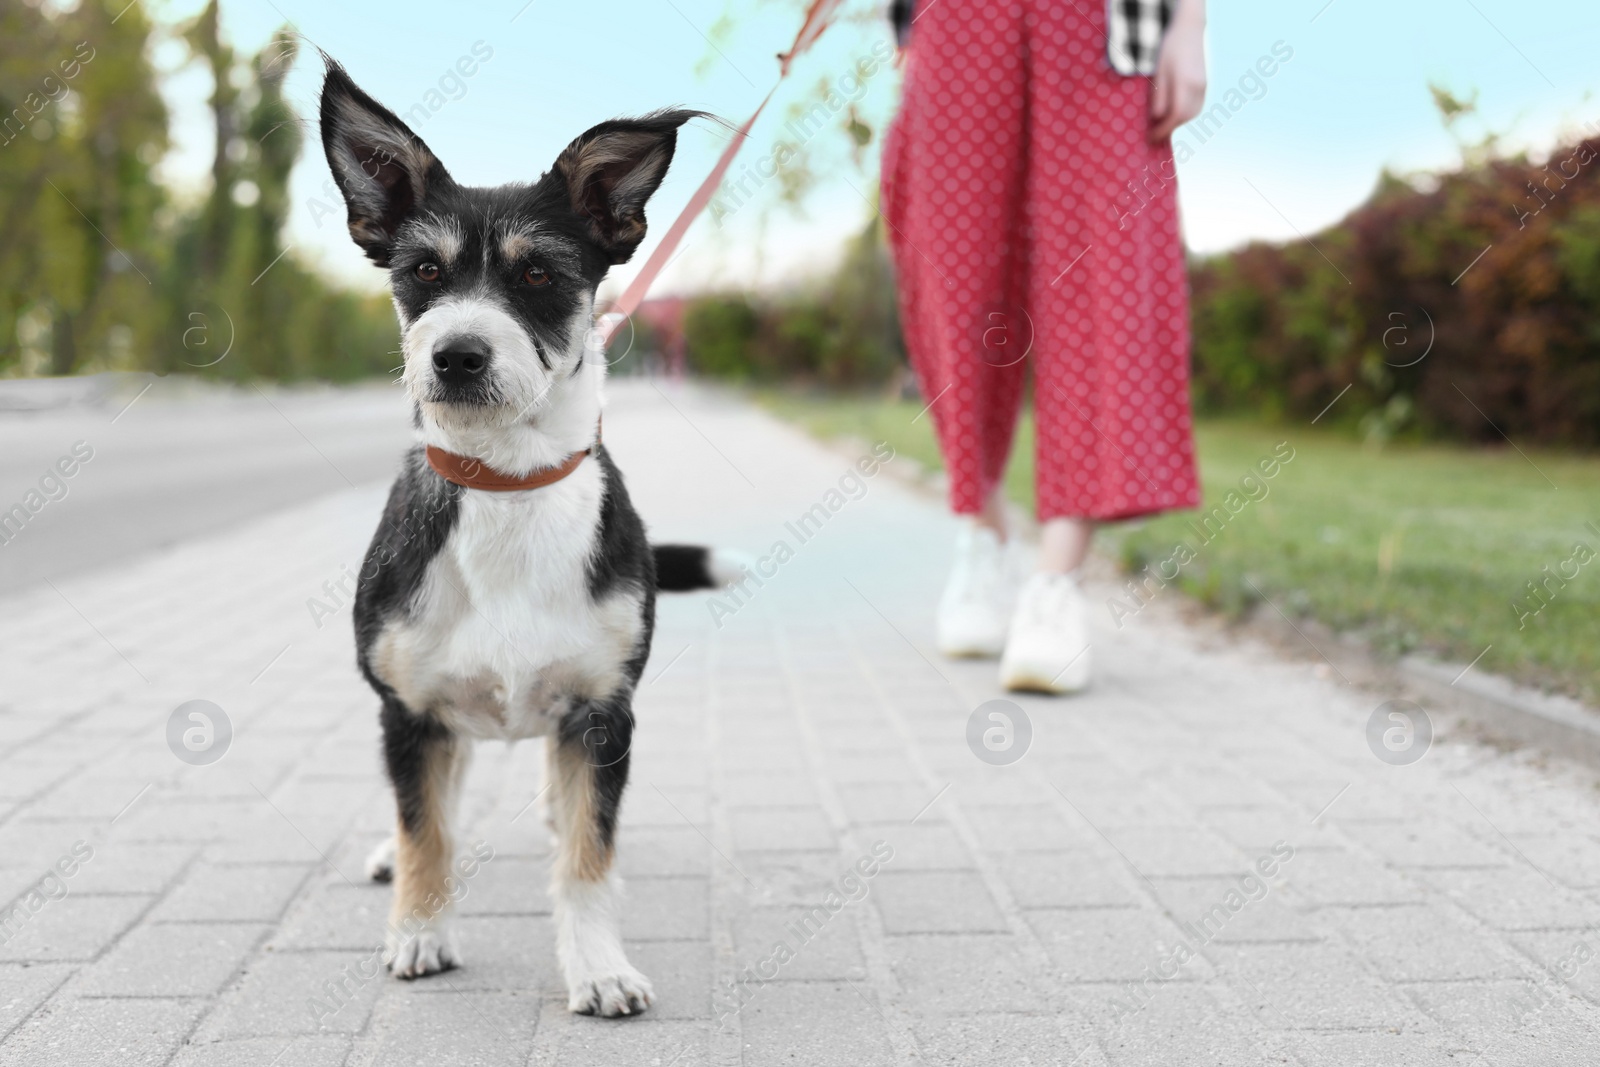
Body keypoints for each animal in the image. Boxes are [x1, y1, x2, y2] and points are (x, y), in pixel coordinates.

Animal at [320, 58, 742, 1017]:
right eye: (423, 270)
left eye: (542, 274)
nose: (458, 355)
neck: (506, 486)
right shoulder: (409, 711)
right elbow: (428, 830)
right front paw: (419, 930)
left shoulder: (602, 714)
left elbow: (589, 856)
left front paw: (599, 966)